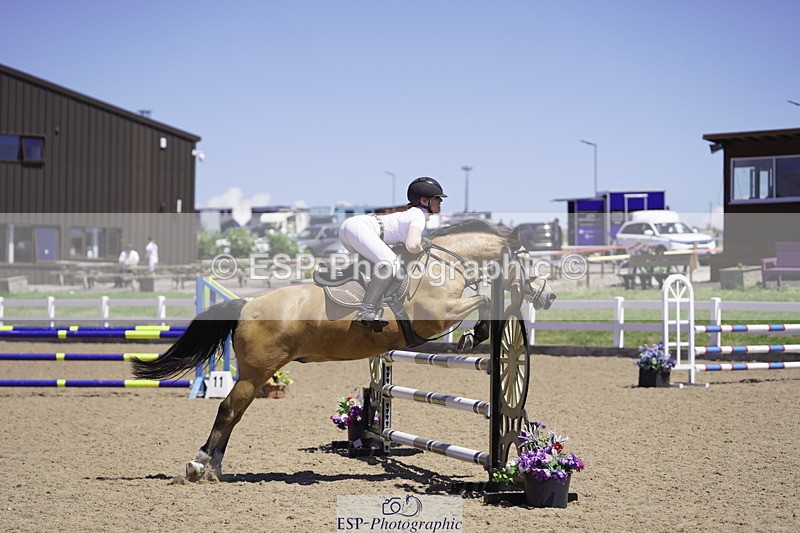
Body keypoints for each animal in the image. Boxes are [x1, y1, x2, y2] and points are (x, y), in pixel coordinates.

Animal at [133, 219, 556, 481]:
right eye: (526, 259)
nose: (549, 297)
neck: (445, 263)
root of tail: (247, 304)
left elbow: (481, 298)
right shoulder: (435, 317)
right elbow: (482, 299)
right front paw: (475, 334)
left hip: (255, 373)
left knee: (233, 414)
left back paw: (214, 467)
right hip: (256, 373)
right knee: (228, 410)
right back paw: (200, 464)